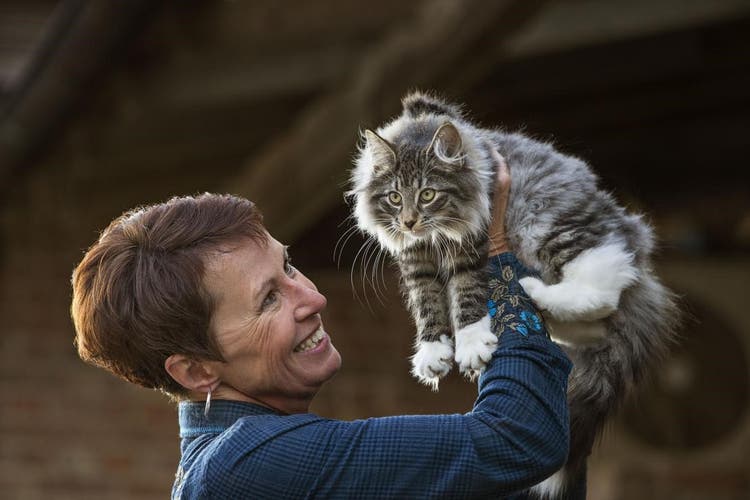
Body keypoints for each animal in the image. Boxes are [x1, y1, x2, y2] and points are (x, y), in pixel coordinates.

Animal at [350, 92, 684, 498]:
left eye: (428, 194)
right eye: (395, 198)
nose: (409, 221)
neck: (435, 237)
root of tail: (636, 240)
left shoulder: (471, 242)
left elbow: (466, 296)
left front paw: (471, 345)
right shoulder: (416, 261)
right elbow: (427, 305)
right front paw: (432, 354)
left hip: (550, 226)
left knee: (609, 277)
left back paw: (535, 291)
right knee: (598, 323)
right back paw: (546, 309)